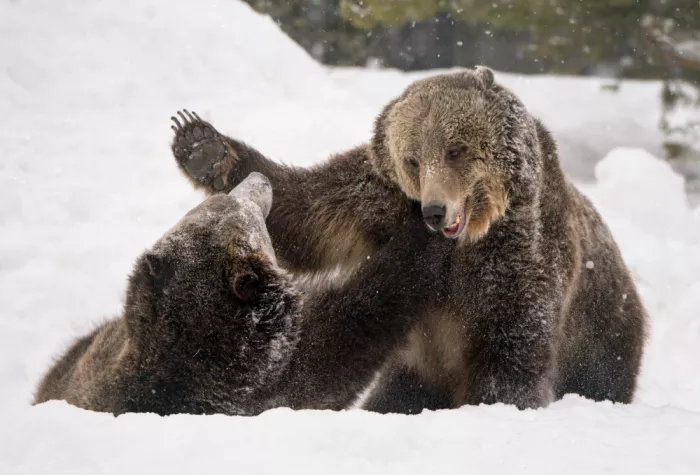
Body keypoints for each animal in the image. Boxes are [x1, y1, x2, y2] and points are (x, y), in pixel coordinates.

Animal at [34, 173, 448, 415]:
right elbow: (355, 324)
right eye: (239, 204)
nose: (257, 177)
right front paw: (420, 233)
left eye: (210, 202)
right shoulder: (272, 376)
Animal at [168, 66, 648, 412]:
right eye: (413, 158)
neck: (470, 237)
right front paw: (203, 147)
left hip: (601, 333)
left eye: (456, 149)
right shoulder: (377, 199)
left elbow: (510, 343)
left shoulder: (517, 253)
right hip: (415, 367)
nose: (434, 211)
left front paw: (494, 402)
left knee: (601, 373)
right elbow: (309, 215)